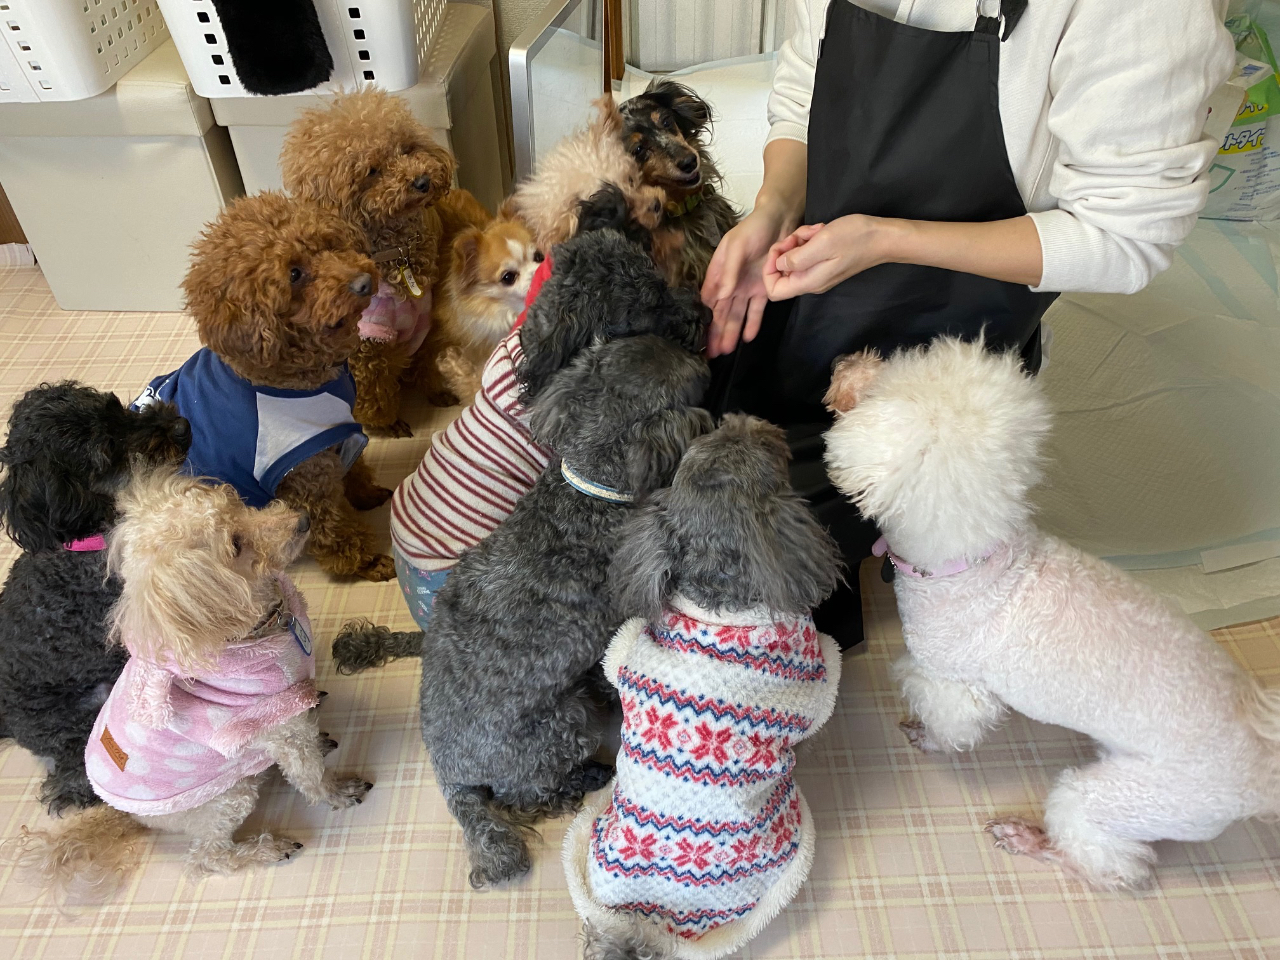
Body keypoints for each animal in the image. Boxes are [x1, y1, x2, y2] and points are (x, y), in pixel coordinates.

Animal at [819, 340, 1280, 896]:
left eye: (879, 389)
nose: (844, 361)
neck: (973, 559)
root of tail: (1264, 770)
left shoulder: (953, 685)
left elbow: (951, 721)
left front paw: (926, 738)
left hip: (1129, 801)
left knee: (1105, 862)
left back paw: (1028, 838)